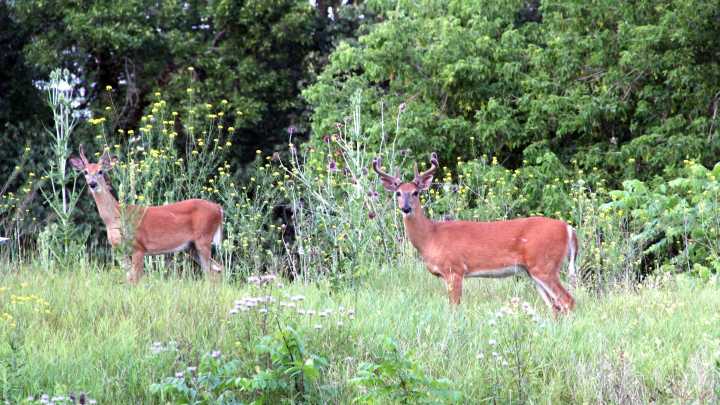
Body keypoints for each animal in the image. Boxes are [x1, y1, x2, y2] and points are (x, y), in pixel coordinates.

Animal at [69, 145, 224, 284]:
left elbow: (135, 279)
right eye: (85, 172)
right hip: (191, 247)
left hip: (203, 238)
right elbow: (128, 278)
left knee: (212, 272)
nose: (92, 184)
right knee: (216, 269)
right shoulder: (120, 250)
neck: (115, 218)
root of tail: (218, 208)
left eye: (100, 171)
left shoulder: (139, 247)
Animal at [373, 153, 578, 314]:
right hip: (533, 271)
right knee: (555, 306)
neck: (431, 236)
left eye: (415, 192)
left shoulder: (454, 269)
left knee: (567, 300)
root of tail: (568, 229)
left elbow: (454, 307)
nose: (406, 208)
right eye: (398, 193)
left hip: (545, 265)